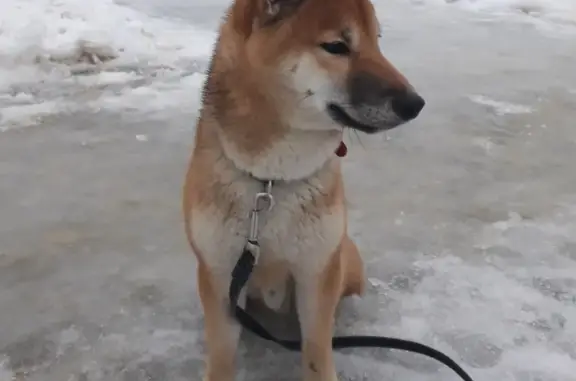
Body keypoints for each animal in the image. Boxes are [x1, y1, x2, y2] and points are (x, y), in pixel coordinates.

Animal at [182, 0, 426, 380]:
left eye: (376, 41)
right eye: (336, 46)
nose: (415, 104)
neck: (271, 181)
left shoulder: (316, 272)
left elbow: (316, 353)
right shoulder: (220, 274)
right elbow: (221, 356)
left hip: (344, 258)